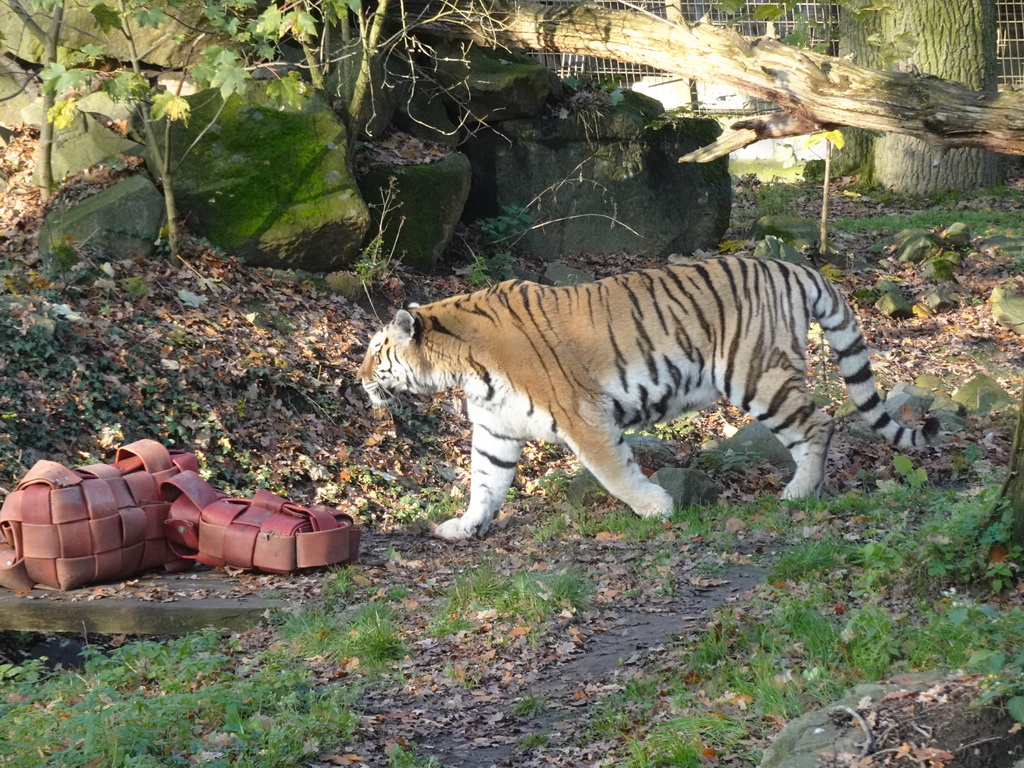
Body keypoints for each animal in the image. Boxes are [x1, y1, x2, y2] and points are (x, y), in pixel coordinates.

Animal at [358, 259, 937, 540]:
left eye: (376, 351)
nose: (357, 379)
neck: (462, 365)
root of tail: (794, 267)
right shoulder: (496, 429)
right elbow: (484, 484)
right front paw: (464, 528)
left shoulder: (583, 415)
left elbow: (614, 471)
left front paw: (657, 507)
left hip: (756, 375)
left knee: (819, 424)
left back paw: (797, 494)